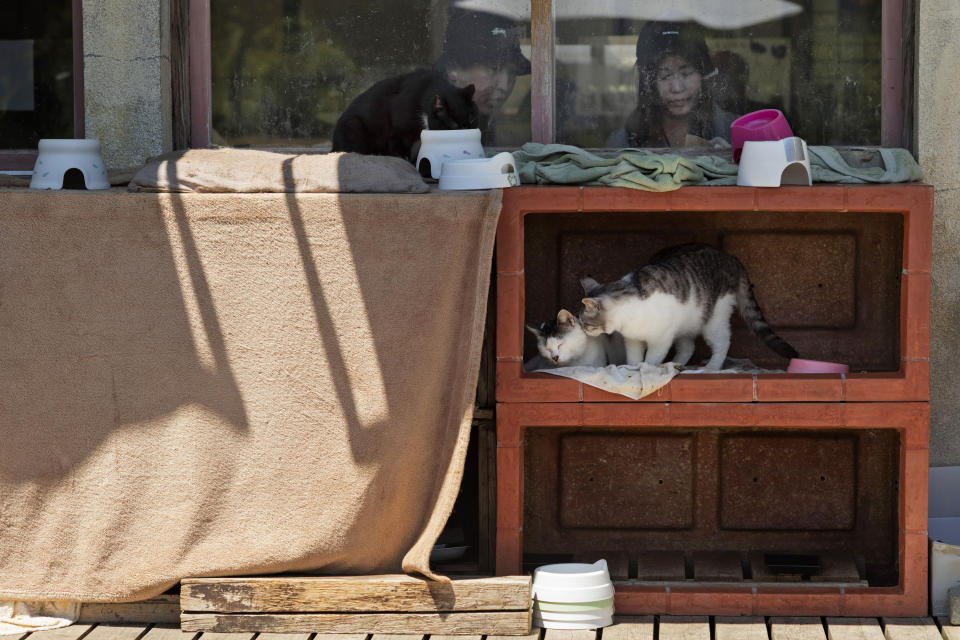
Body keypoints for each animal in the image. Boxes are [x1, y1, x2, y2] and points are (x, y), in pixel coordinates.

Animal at [332, 68, 478, 161]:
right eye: (453, 124)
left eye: (471, 118)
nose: (467, 129)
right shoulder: (398, 126)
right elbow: (396, 142)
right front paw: (402, 158)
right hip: (353, 125)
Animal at [580, 241, 800, 370]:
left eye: (585, 323)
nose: (582, 330)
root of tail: (732, 258)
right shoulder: (632, 339)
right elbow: (634, 357)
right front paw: (633, 369)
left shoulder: (661, 338)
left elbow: (652, 358)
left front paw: (648, 368)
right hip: (685, 324)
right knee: (688, 347)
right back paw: (677, 364)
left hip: (714, 319)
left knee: (722, 342)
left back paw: (711, 367)